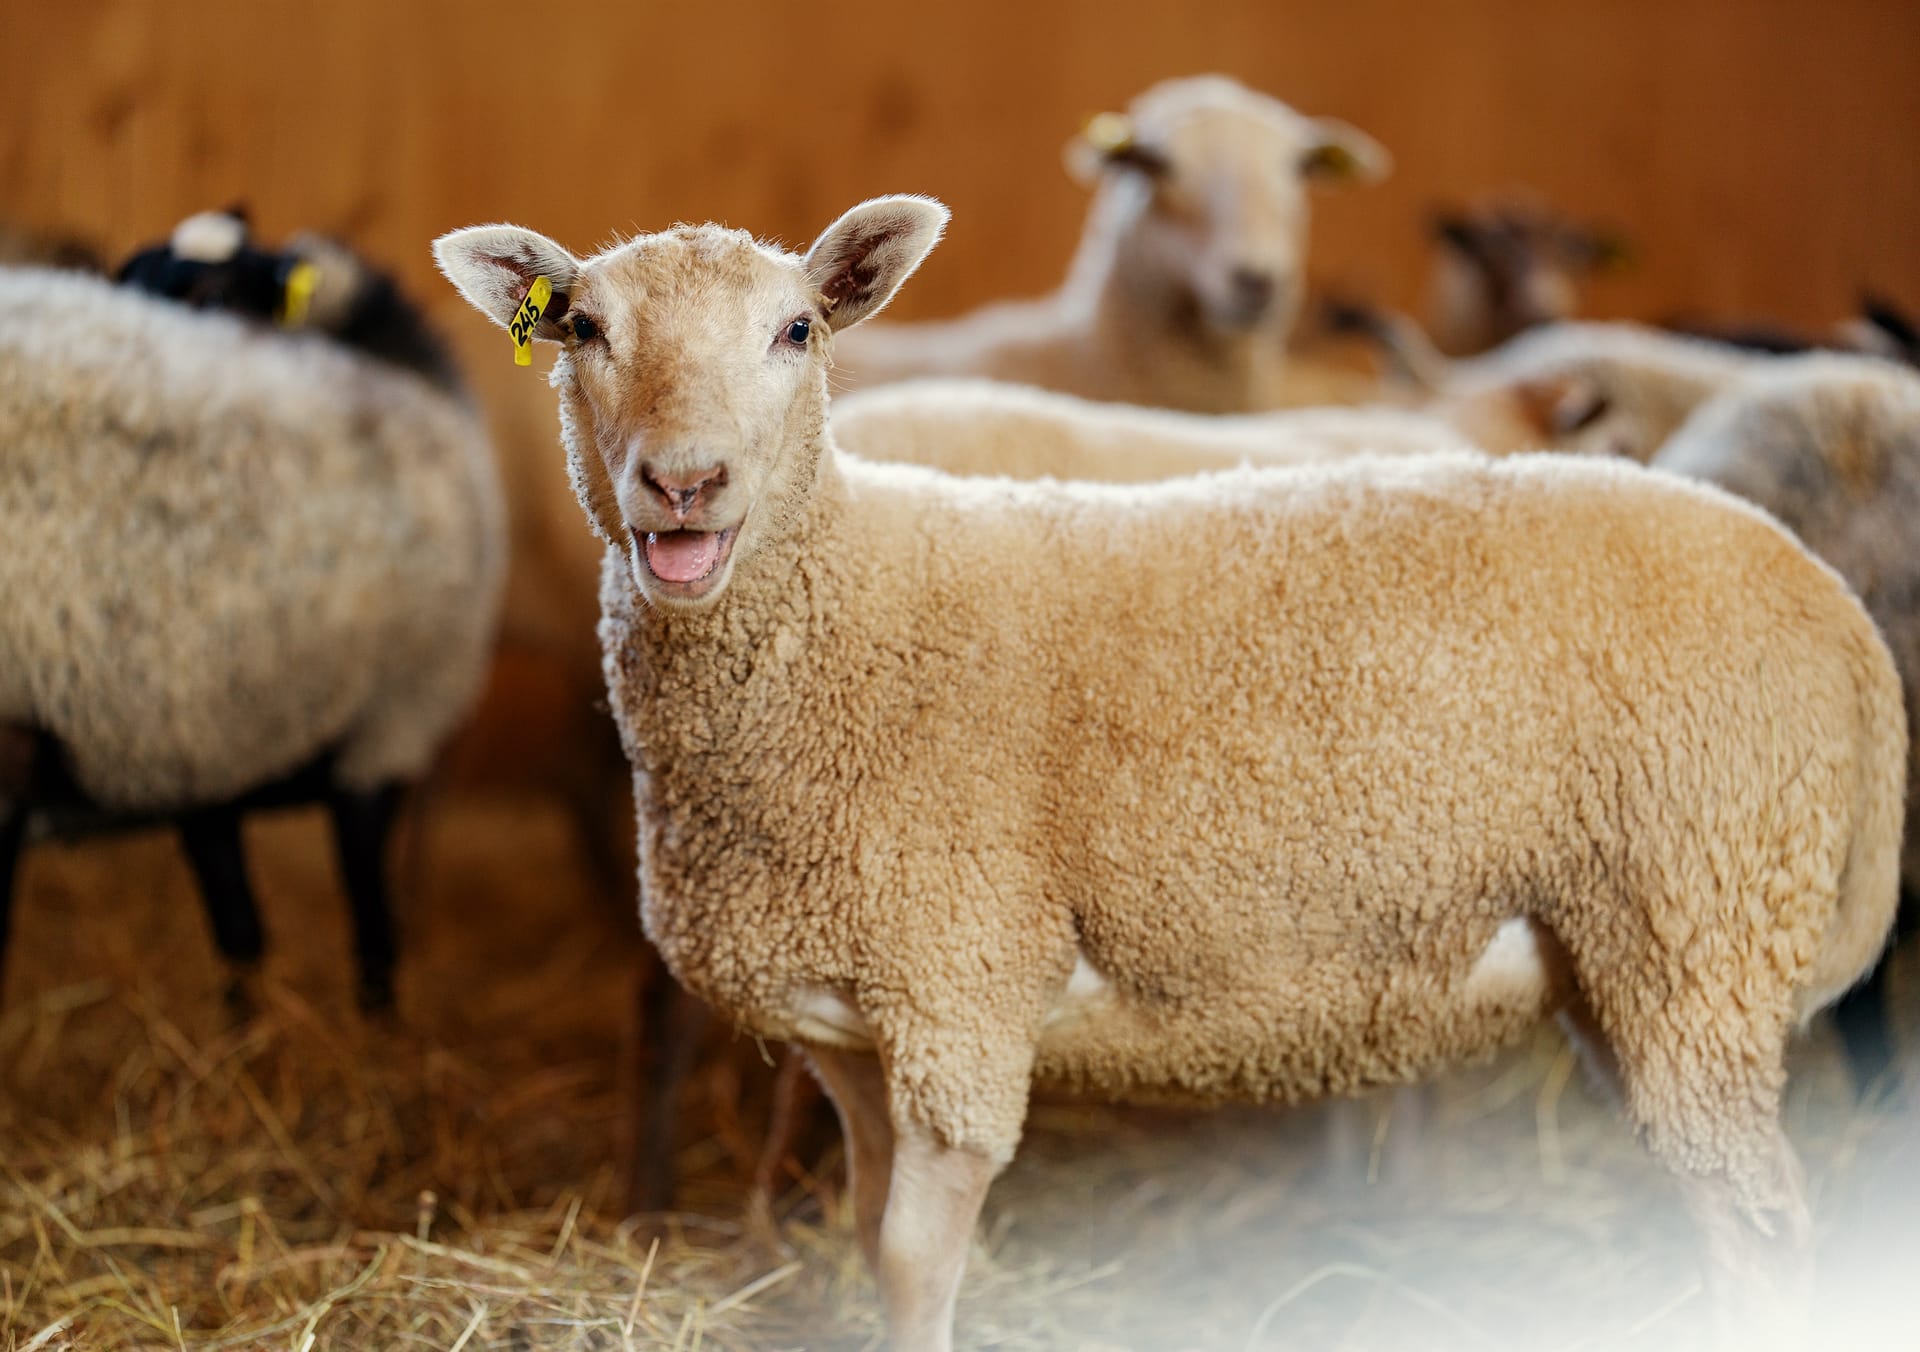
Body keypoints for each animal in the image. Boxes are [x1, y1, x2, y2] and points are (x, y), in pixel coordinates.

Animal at [436, 195, 1902, 1352]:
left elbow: (916, 1266)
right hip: (1640, 955)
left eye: (798, 331)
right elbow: (866, 1238)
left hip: (1700, 920)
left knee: (1770, 1231)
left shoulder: (961, 992)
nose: (684, 484)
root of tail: (1837, 613)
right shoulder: (857, 1022)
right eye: (581, 329)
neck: (844, 599)